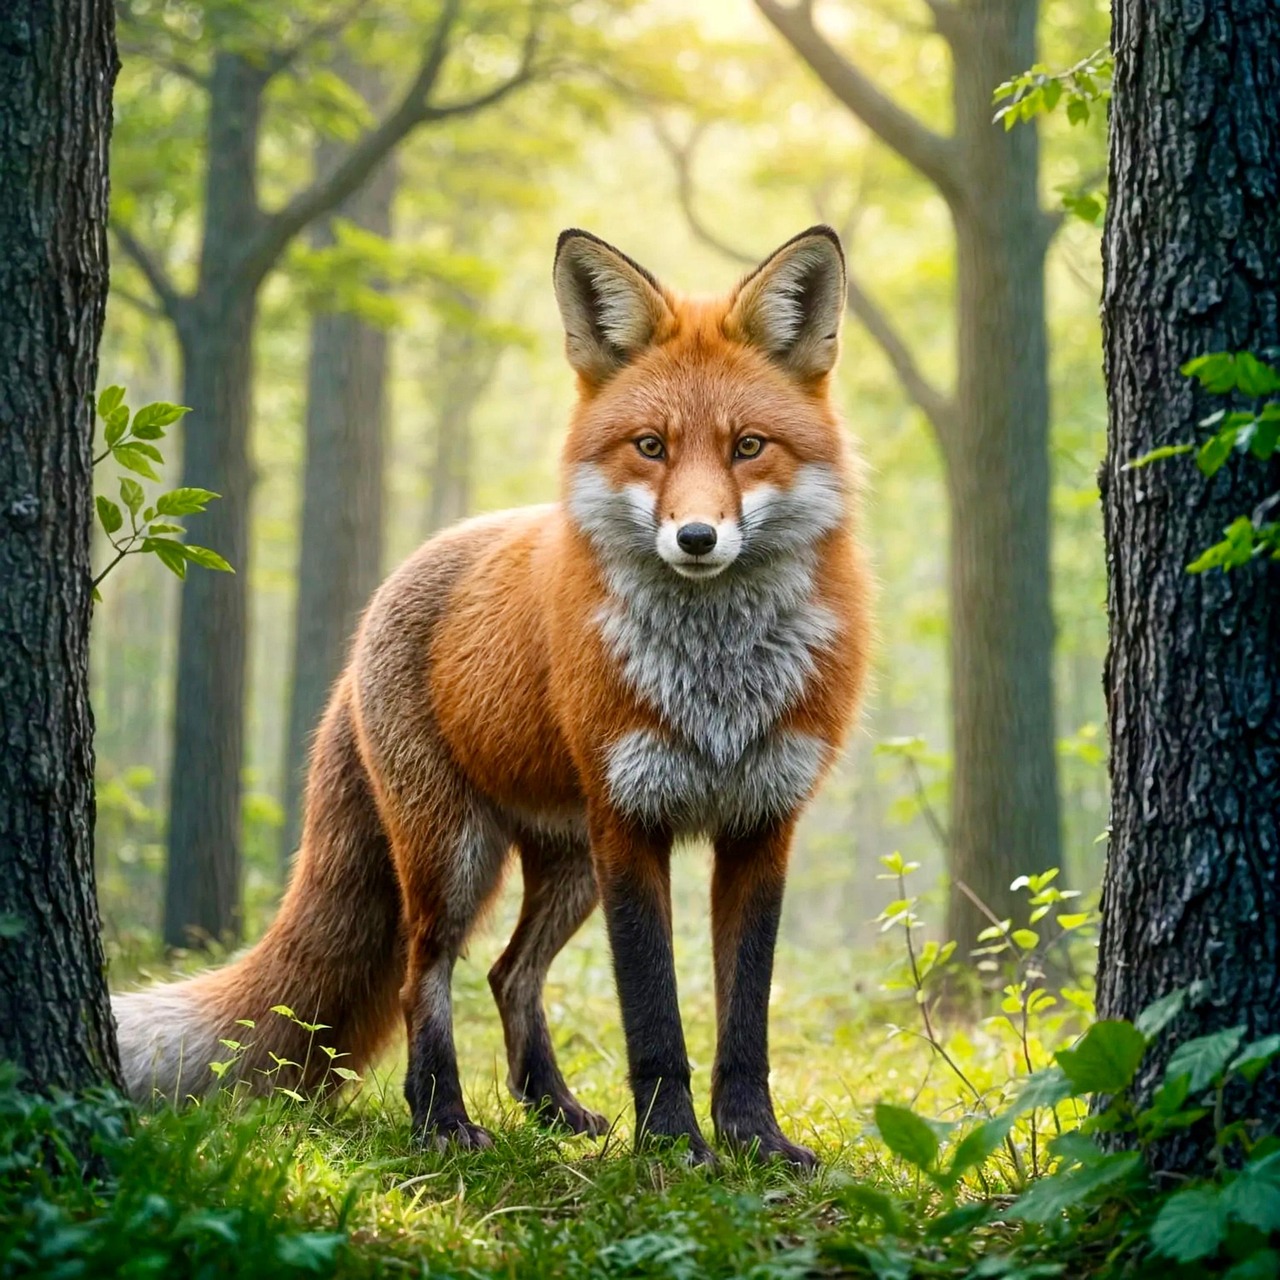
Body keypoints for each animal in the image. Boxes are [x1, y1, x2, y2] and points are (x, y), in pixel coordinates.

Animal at [113, 225, 872, 1166]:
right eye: (651, 447)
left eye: (749, 447)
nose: (697, 538)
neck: (715, 681)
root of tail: (383, 599)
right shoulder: (631, 825)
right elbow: (654, 1018)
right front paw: (671, 1149)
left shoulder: (762, 826)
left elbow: (746, 1023)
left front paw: (755, 1140)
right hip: (457, 853)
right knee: (425, 978)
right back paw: (442, 1119)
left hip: (569, 864)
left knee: (510, 973)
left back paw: (552, 1107)